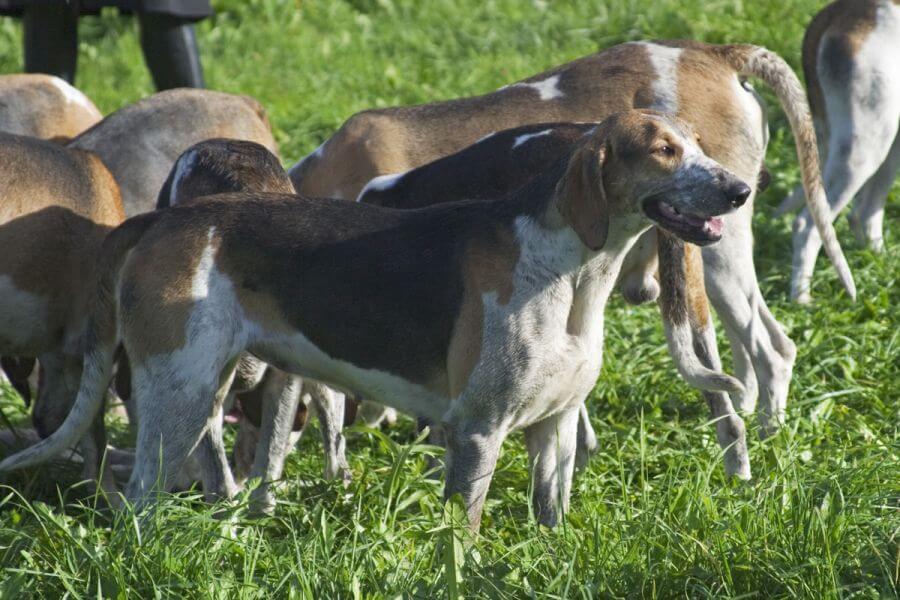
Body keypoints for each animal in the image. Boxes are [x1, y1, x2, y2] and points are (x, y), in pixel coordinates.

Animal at [290, 41, 856, 436]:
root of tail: (713, 52)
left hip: (724, 252)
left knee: (773, 350)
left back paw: (767, 433)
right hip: (715, 270)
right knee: (748, 350)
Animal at [776, 0, 896, 300]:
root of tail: (837, 11)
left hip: (888, 143)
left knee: (863, 214)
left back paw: (881, 263)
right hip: (863, 149)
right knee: (808, 225)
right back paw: (802, 299)